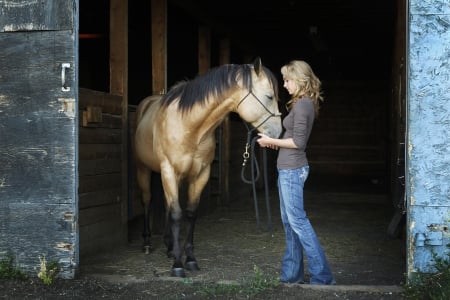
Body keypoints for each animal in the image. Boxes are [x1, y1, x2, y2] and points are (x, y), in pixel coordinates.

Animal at [134, 56, 282, 276]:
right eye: (269, 96)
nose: (279, 133)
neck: (189, 126)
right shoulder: (169, 170)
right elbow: (177, 214)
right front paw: (177, 265)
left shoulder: (201, 174)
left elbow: (190, 213)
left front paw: (189, 259)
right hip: (144, 170)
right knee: (147, 201)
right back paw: (147, 243)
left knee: (168, 206)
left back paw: (169, 246)